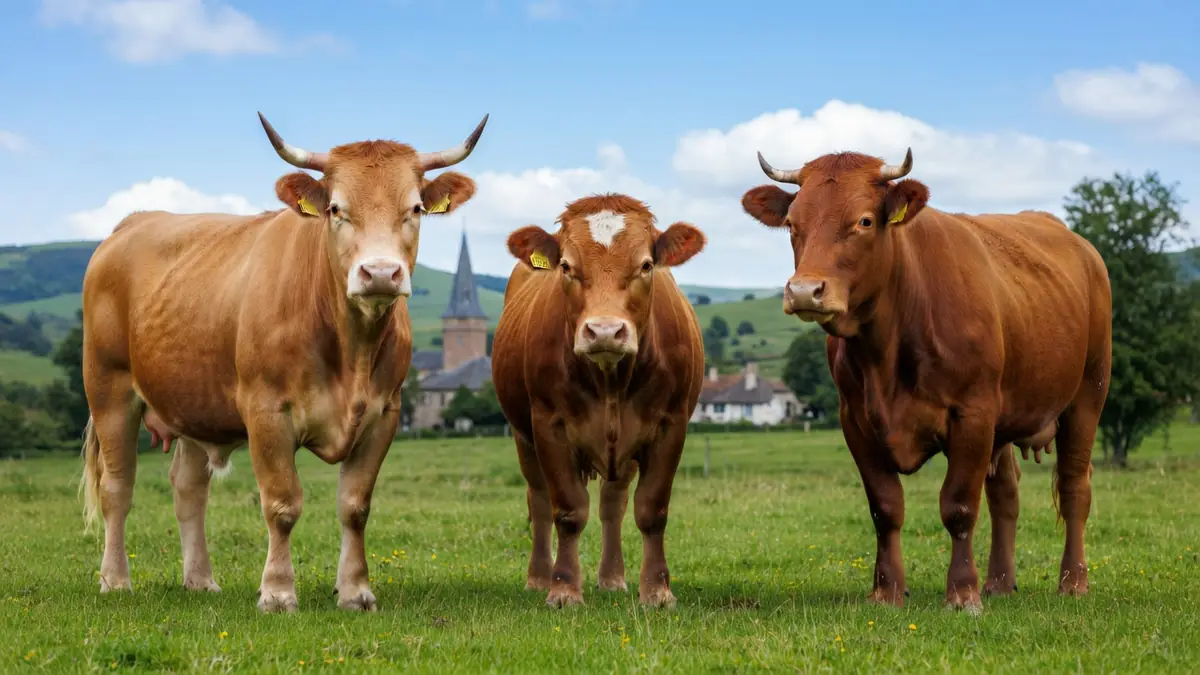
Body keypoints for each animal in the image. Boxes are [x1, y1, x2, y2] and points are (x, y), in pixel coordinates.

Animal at [78, 111, 488, 613]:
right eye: (335, 209)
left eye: (415, 209)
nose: (380, 273)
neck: (350, 351)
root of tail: (133, 223)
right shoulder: (267, 413)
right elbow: (282, 505)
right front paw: (276, 592)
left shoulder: (384, 415)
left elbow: (355, 506)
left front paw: (356, 591)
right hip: (109, 389)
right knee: (117, 489)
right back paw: (115, 580)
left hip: (192, 404)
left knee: (188, 491)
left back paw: (200, 580)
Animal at [491, 194, 707, 608]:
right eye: (566, 266)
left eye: (646, 265)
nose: (605, 331)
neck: (610, 380)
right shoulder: (549, 426)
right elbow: (567, 511)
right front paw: (563, 589)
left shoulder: (670, 426)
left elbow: (651, 509)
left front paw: (657, 591)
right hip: (522, 436)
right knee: (538, 500)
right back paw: (539, 577)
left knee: (612, 503)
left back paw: (612, 578)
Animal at [741, 148, 1111, 612]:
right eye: (792, 223)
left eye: (864, 221)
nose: (806, 290)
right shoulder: (855, 422)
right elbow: (885, 507)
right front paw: (887, 591)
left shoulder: (973, 415)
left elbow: (959, 507)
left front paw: (963, 593)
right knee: (1006, 494)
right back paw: (1000, 581)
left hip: (1087, 397)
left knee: (1075, 486)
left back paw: (1073, 582)